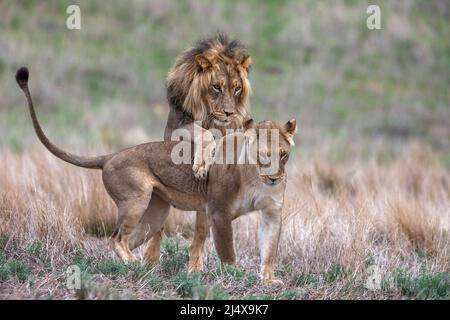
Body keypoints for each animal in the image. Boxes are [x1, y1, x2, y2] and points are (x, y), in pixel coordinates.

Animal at [15, 67, 298, 282]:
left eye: (283, 154)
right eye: (263, 155)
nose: (274, 178)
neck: (256, 178)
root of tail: (112, 156)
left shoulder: (272, 212)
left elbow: (269, 250)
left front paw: (269, 280)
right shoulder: (219, 211)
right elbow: (227, 251)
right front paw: (234, 275)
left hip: (156, 212)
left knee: (127, 240)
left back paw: (136, 265)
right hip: (135, 199)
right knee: (116, 238)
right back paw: (133, 264)